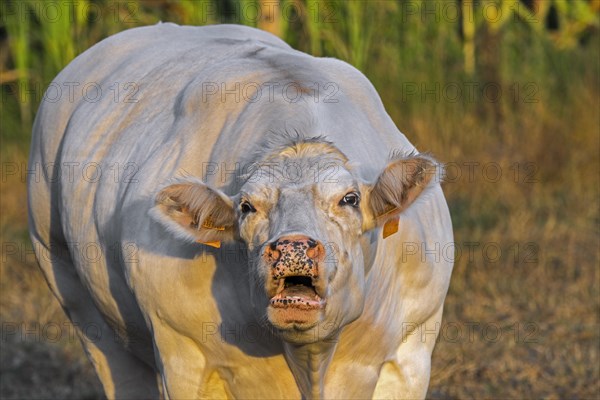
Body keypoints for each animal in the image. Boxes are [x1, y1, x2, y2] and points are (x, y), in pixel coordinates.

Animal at [27, 23, 450, 398]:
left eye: (349, 199)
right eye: (247, 207)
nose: (293, 248)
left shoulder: (411, 350)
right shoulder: (182, 355)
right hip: (73, 292)